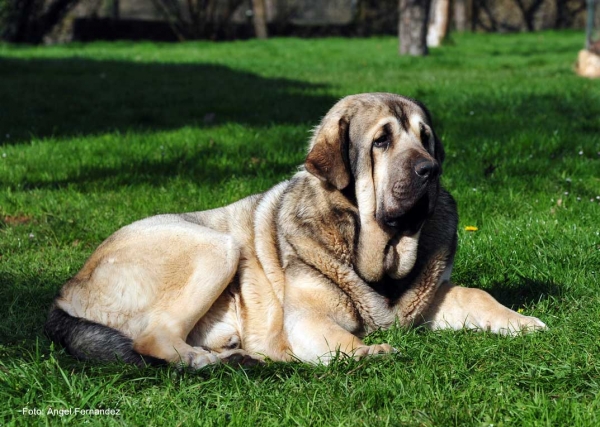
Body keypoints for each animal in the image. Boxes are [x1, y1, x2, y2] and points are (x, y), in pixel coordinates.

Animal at [44, 93, 548, 368]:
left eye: (426, 139)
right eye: (381, 142)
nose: (431, 170)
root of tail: (66, 290)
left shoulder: (428, 301)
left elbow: (476, 295)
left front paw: (520, 322)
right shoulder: (308, 317)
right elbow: (341, 340)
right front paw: (369, 352)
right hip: (215, 246)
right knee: (152, 338)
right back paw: (207, 361)